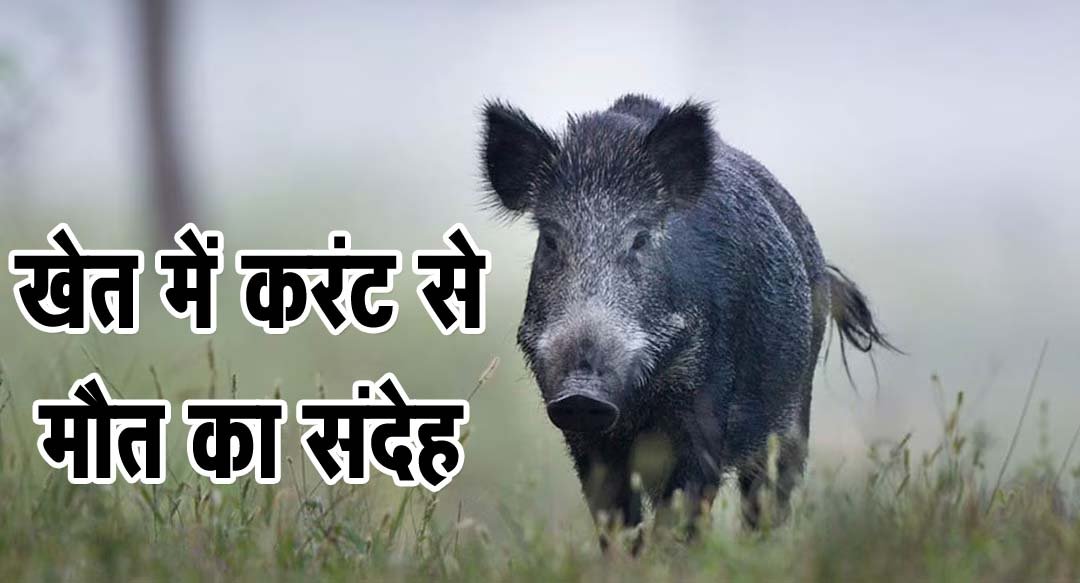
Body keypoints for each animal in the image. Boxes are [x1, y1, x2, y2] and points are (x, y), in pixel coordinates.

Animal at [480, 94, 895, 539]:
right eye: (550, 240)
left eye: (640, 239)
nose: (581, 392)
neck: (638, 401)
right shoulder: (584, 438)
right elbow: (616, 520)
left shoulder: (705, 408)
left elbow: (684, 509)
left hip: (793, 414)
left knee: (767, 501)